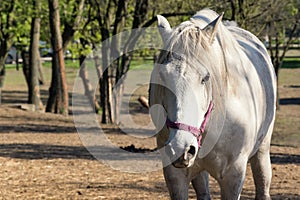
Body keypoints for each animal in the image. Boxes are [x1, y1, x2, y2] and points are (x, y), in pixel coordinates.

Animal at [149, 8, 276, 199]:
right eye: (162, 76)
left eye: (205, 78)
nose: (180, 148)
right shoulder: (175, 175)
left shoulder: (233, 176)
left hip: (262, 150)